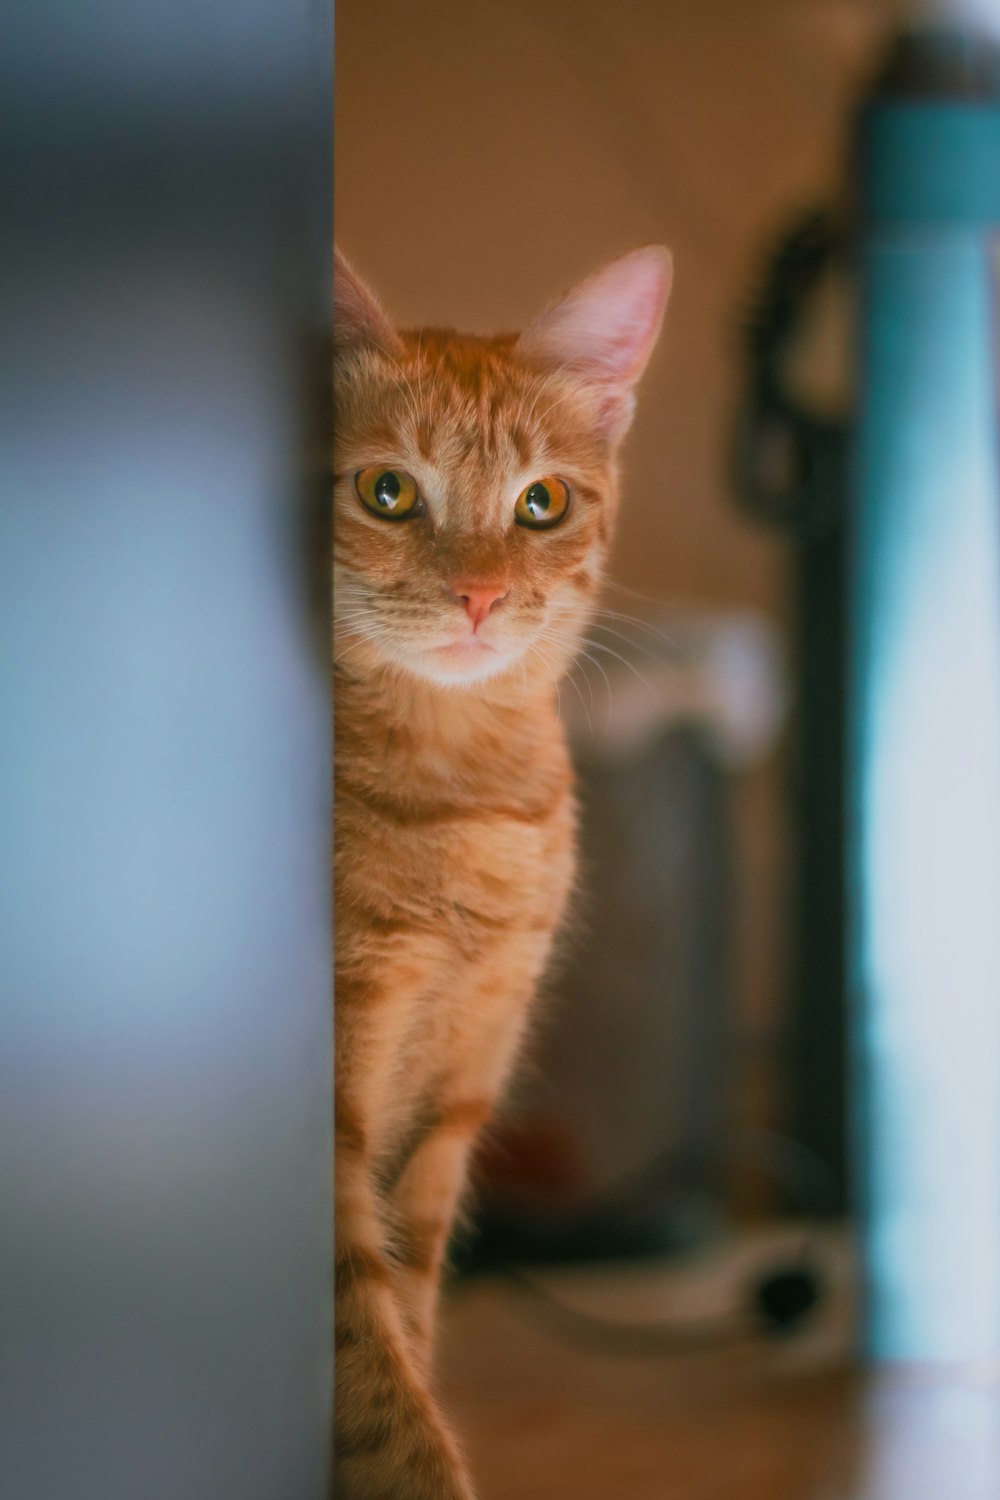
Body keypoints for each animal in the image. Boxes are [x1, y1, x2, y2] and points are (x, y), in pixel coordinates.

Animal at [334, 240, 671, 1494]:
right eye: (387, 492)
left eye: (542, 503)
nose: (477, 597)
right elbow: (382, 1393)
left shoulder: (445, 1111)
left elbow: (409, 1336)